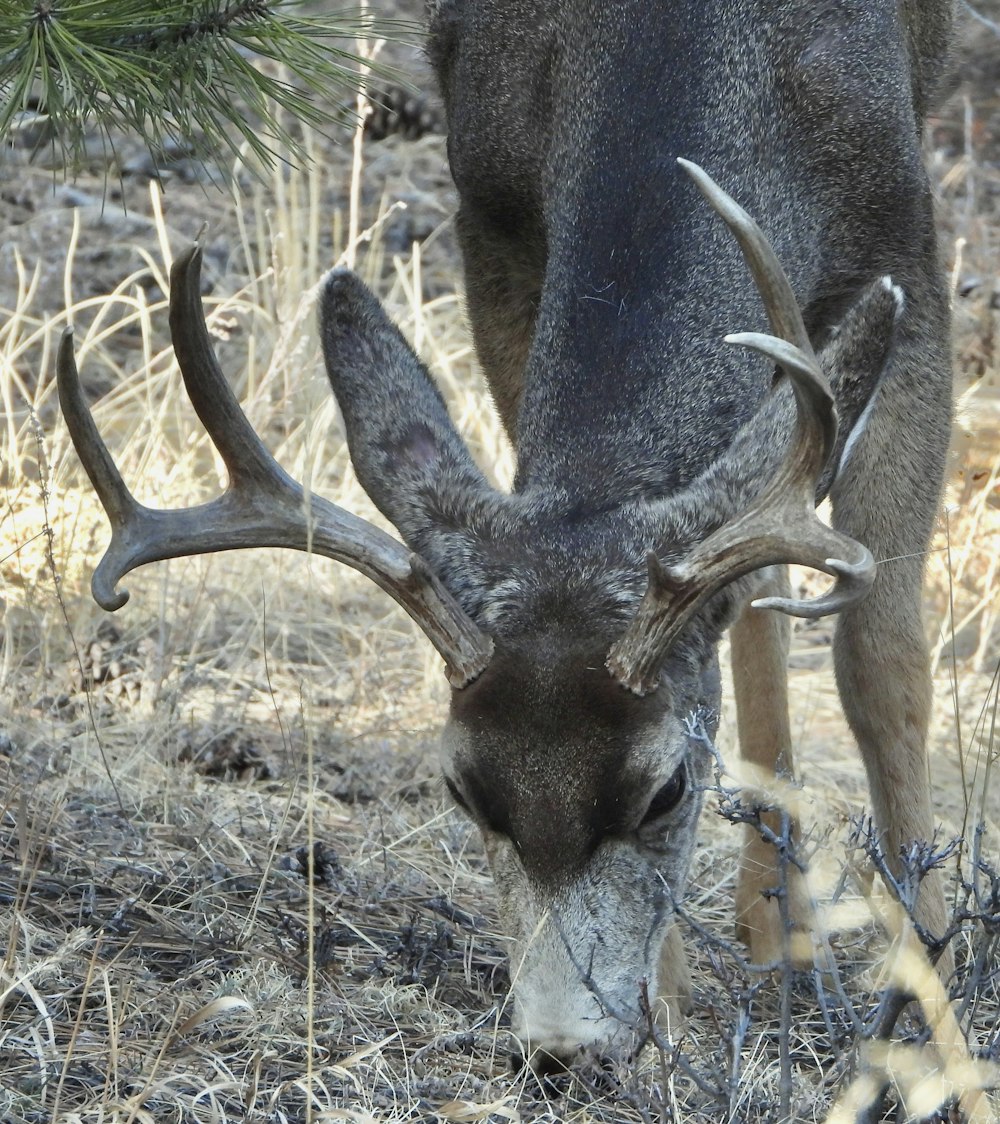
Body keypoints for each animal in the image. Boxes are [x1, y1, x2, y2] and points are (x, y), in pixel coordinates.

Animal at [58, 0, 952, 1070]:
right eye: (462, 790)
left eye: (666, 790)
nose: (562, 1048)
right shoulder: (490, 225)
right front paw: (670, 997)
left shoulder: (909, 252)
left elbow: (882, 663)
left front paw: (931, 978)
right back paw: (773, 923)